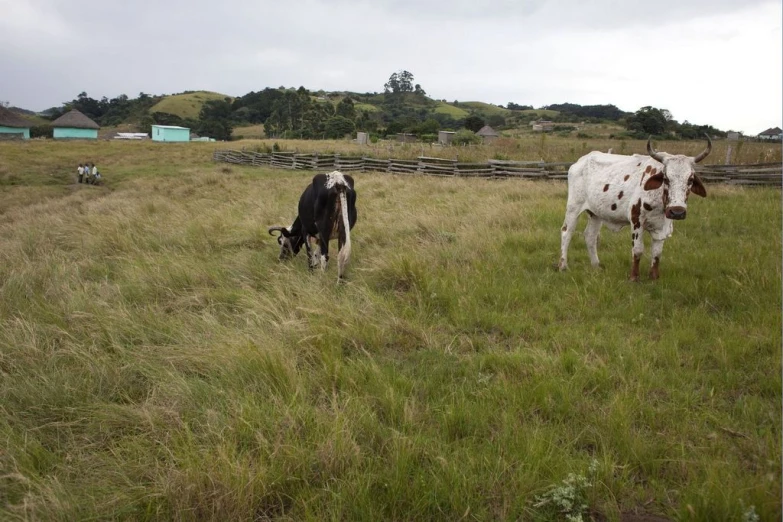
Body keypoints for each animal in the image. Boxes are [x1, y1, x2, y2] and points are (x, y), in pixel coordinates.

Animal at [556, 136, 712, 278]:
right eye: (666, 178)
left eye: (690, 179)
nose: (677, 212)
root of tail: (581, 160)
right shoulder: (637, 221)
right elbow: (637, 250)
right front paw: (634, 277)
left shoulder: (662, 226)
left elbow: (657, 254)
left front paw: (654, 277)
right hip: (573, 207)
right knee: (566, 232)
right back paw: (563, 266)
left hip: (595, 213)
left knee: (590, 236)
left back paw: (596, 265)